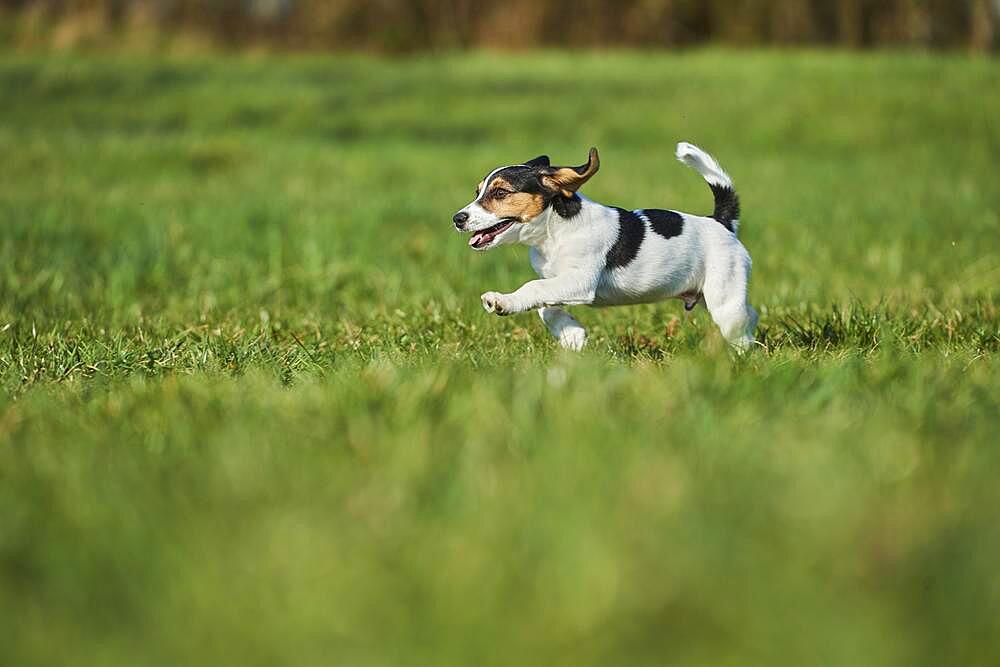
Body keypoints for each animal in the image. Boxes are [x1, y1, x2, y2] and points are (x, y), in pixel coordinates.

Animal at [454, 144, 756, 352]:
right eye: (478, 193)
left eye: (500, 193)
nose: (457, 218)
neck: (554, 231)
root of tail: (720, 222)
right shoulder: (558, 281)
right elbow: (546, 308)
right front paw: (572, 336)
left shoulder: (580, 280)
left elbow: (532, 289)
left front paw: (502, 302)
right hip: (709, 296)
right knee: (751, 314)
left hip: (723, 299)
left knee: (739, 325)